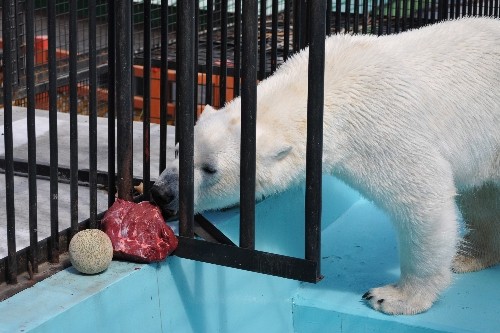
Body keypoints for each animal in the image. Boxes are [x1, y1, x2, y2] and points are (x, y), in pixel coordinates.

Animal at [151, 18, 500, 314]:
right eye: (178, 149)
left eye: (210, 169)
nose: (160, 192)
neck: (325, 82)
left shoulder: (382, 127)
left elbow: (422, 195)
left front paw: (394, 297)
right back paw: (469, 256)